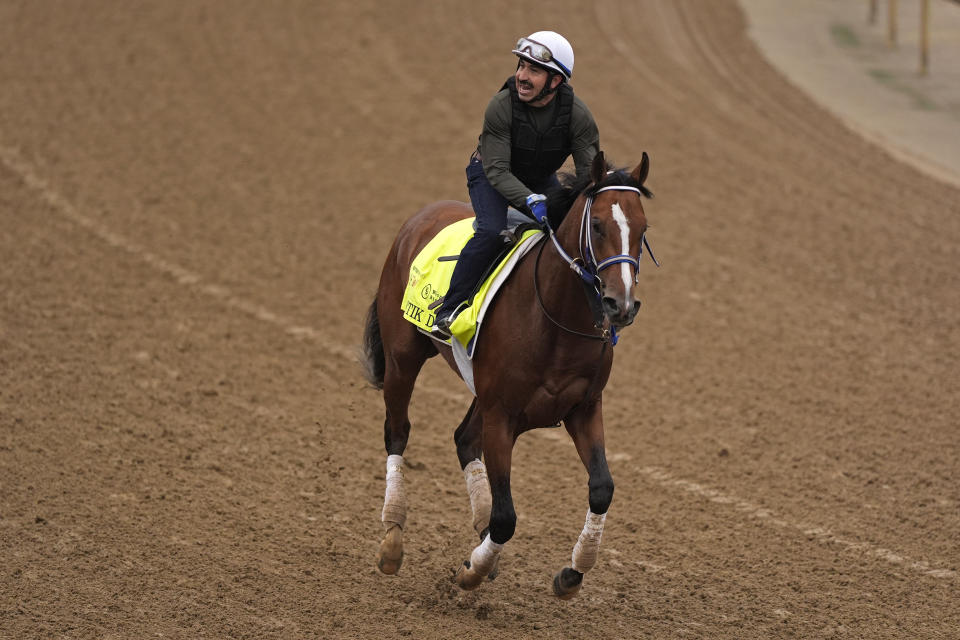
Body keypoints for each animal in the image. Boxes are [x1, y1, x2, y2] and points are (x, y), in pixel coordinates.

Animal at [364, 151, 656, 600]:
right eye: (597, 225)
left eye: (642, 229)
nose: (620, 305)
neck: (555, 319)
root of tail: (421, 216)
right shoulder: (502, 415)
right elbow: (506, 517)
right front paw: (473, 570)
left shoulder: (584, 408)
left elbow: (602, 488)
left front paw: (571, 574)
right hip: (402, 357)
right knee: (397, 432)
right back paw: (393, 540)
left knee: (463, 439)